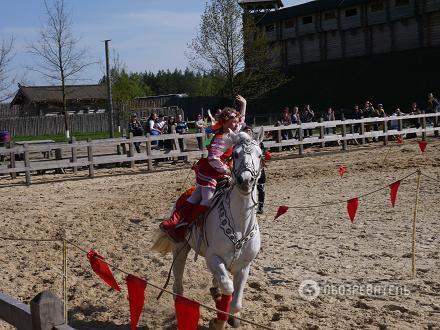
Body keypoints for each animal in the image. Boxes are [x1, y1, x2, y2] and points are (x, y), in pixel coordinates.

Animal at [152, 130, 262, 328]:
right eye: (235, 154)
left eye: (260, 155)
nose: (246, 180)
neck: (240, 226)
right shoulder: (213, 259)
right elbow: (227, 287)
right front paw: (218, 320)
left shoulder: (244, 266)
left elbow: (236, 302)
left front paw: (230, 316)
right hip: (180, 250)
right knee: (177, 286)